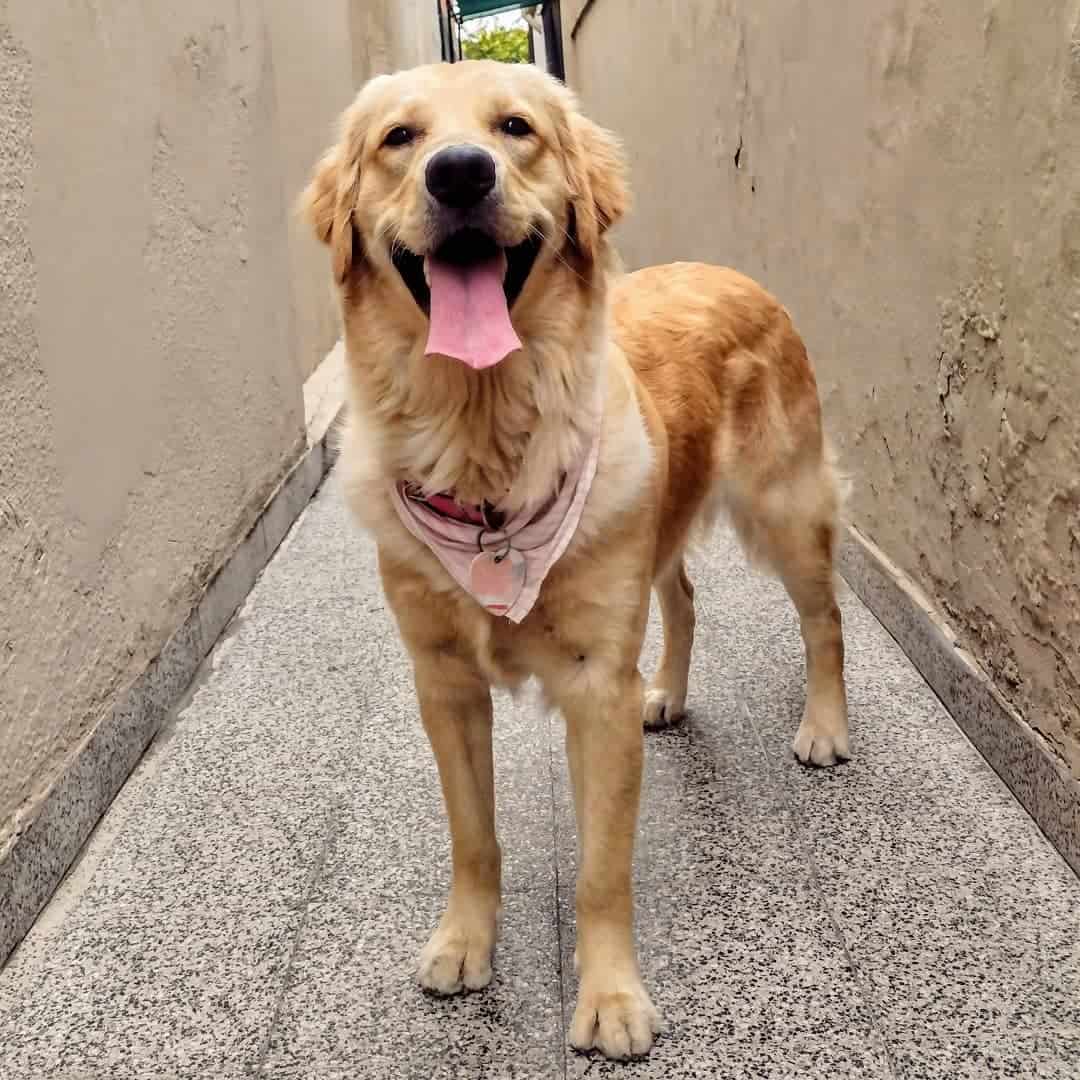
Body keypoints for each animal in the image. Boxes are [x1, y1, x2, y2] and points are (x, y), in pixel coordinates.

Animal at [300, 54, 846, 1058]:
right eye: (400, 137)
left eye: (516, 127)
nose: (459, 173)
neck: (483, 449)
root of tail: (731, 269)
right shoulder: (443, 680)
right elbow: (472, 836)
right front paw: (465, 941)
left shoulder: (597, 688)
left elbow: (601, 869)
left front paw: (612, 998)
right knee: (684, 599)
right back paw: (668, 692)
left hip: (782, 507)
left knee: (823, 618)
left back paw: (826, 726)